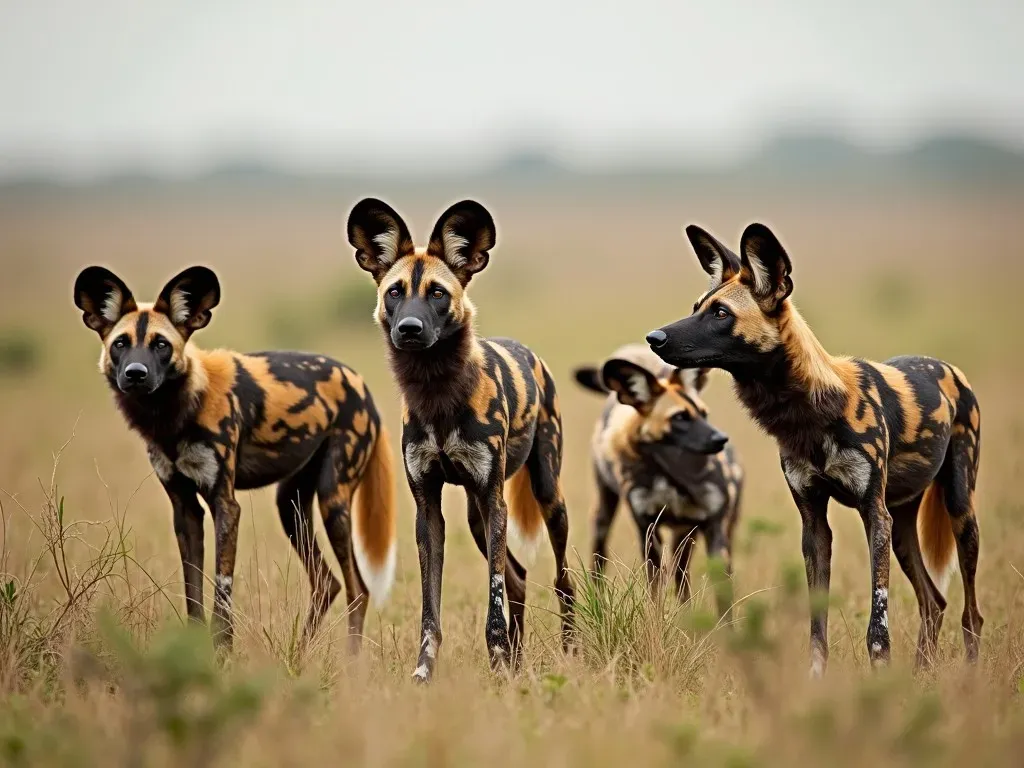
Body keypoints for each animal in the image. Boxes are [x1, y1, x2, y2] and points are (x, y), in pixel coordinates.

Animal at [73, 268, 395, 651]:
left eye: (161, 345)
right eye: (120, 344)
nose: (135, 373)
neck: (173, 414)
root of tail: (361, 386)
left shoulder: (225, 504)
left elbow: (221, 590)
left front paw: (222, 652)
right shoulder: (185, 509)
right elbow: (193, 591)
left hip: (333, 502)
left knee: (357, 589)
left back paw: (348, 662)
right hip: (291, 508)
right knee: (326, 582)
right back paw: (298, 656)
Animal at [348, 195, 577, 684]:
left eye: (437, 293)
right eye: (395, 292)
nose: (409, 329)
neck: (436, 391)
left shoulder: (495, 502)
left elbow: (492, 606)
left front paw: (499, 669)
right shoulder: (428, 510)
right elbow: (430, 612)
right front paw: (425, 672)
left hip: (546, 498)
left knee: (562, 579)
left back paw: (570, 653)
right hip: (476, 517)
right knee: (518, 579)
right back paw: (519, 660)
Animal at [573, 346, 741, 618]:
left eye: (704, 414)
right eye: (680, 417)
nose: (721, 439)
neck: (673, 475)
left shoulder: (714, 529)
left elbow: (724, 603)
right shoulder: (648, 529)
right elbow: (655, 594)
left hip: (686, 535)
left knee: (681, 577)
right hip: (604, 515)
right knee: (599, 561)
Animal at [647, 225, 983, 675]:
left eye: (721, 314)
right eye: (696, 307)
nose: (654, 337)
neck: (813, 410)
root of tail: (950, 368)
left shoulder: (873, 515)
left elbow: (877, 630)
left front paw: (879, 678)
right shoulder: (815, 524)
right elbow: (817, 626)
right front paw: (817, 679)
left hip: (959, 512)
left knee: (971, 614)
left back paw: (969, 677)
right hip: (901, 528)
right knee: (934, 602)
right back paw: (920, 676)